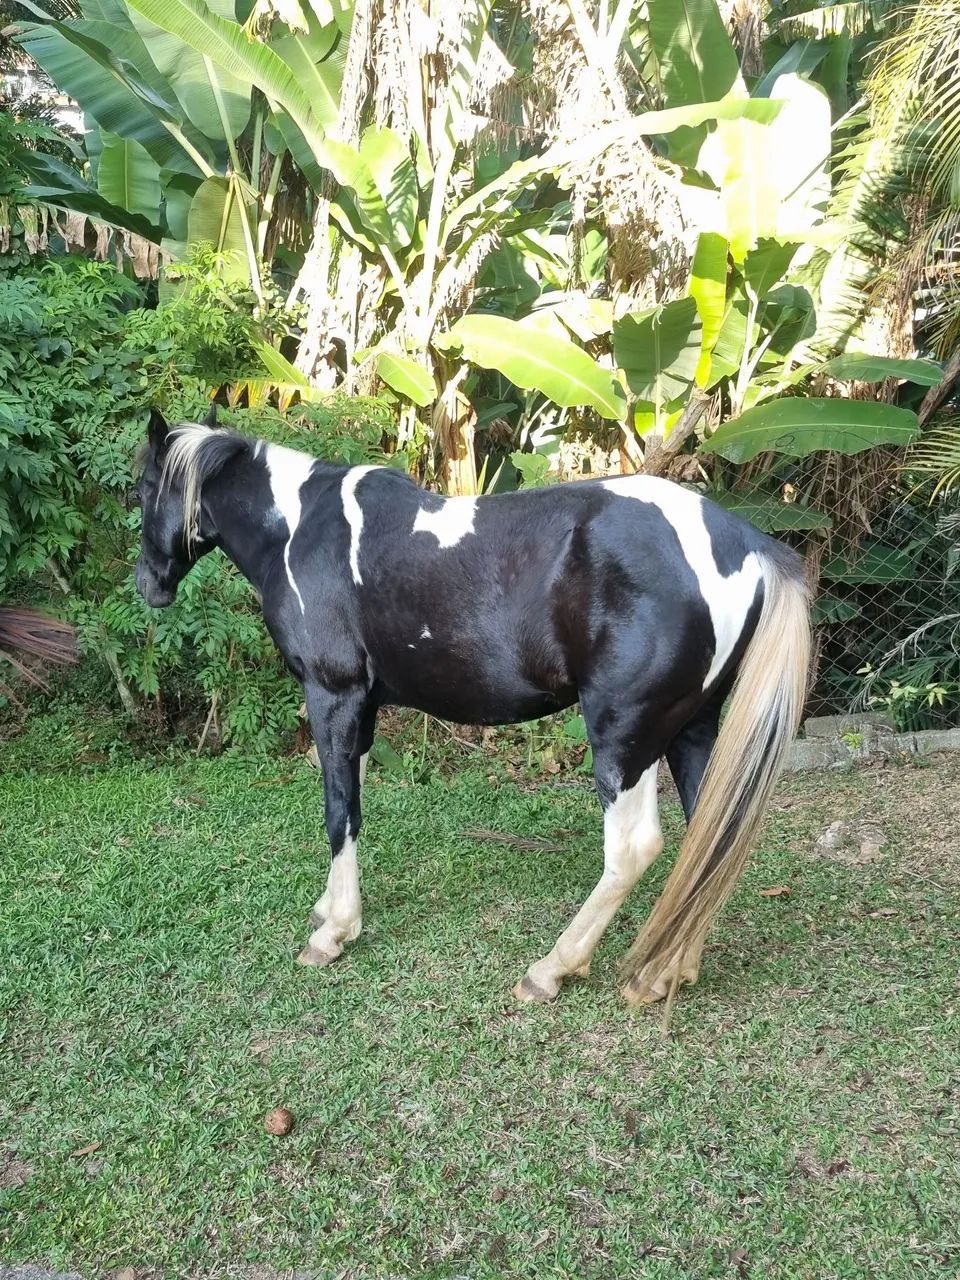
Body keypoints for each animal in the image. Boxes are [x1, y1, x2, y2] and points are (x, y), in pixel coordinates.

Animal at [134, 407, 811, 1006]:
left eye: (142, 489)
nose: (148, 585)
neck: (299, 528)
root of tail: (743, 543)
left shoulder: (333, 693)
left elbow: (338, 810)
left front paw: (333, 933)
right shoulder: (363, 708)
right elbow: (352, 796)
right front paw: (331, 908)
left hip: (625, 740)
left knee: (634, 851)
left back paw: (553, 969)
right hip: (691, 729)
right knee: (711, 837)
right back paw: (669, 969)